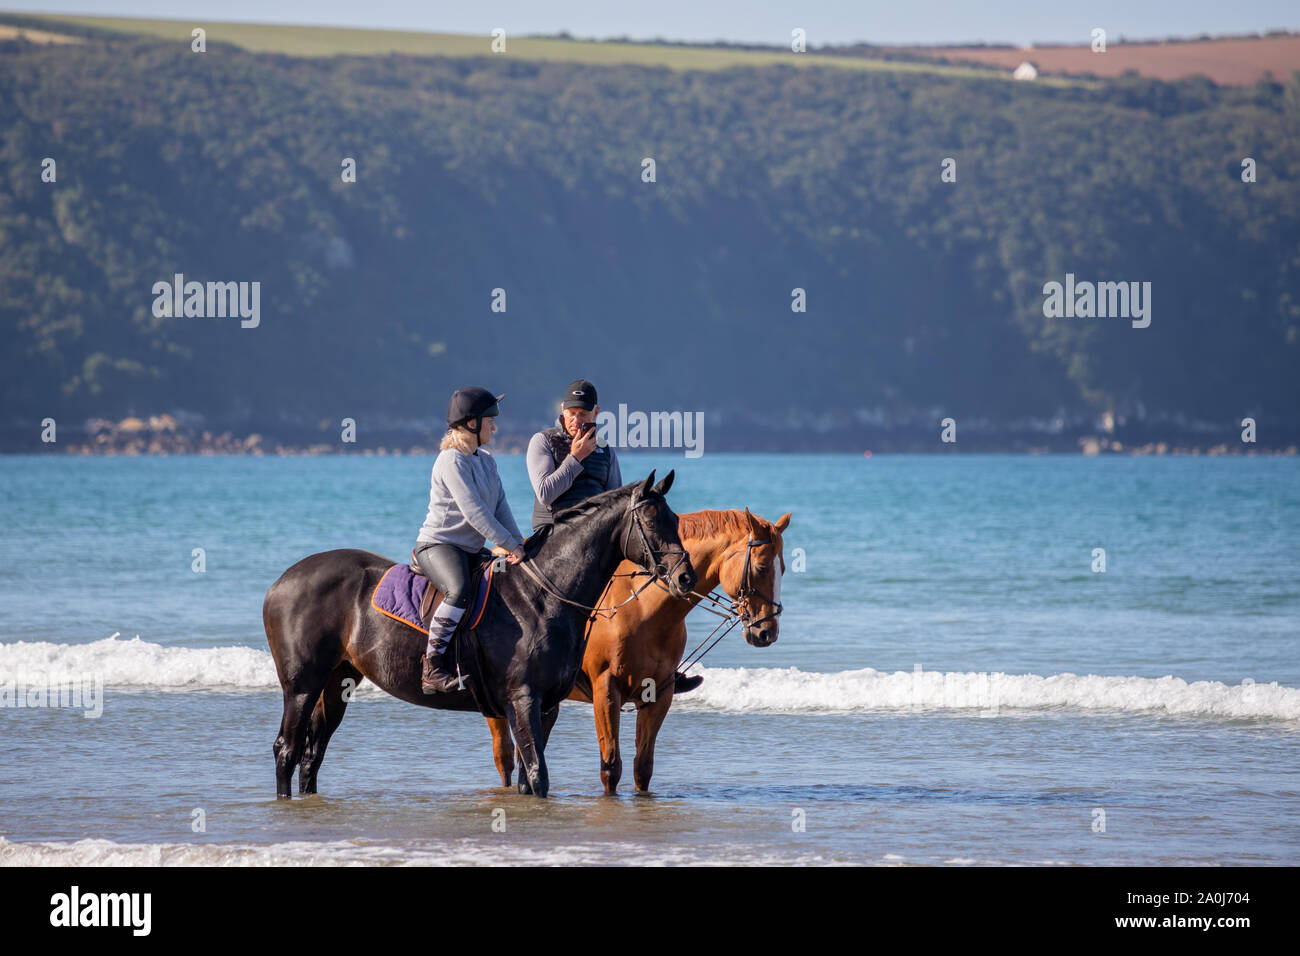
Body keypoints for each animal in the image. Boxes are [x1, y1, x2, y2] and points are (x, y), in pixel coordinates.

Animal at [257, 473, 696, 801]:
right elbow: (537, 776)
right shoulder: (523, 699)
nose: (685, 578)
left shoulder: (545, 706)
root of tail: (281, 582)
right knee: (287, 749)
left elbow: (527, 780)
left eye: (675, 520)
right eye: (652, 522)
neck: (540, 594)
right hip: (302, 686)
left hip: (337, 681)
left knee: (312, 754)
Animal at [488, 509, 790, 790]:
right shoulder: (606, 690)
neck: (644, 608)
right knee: (504, 757)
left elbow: (642, 767)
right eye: (762, 567)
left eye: (784, 569)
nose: (767, 632)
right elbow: (611, 768)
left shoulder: (658, 693)